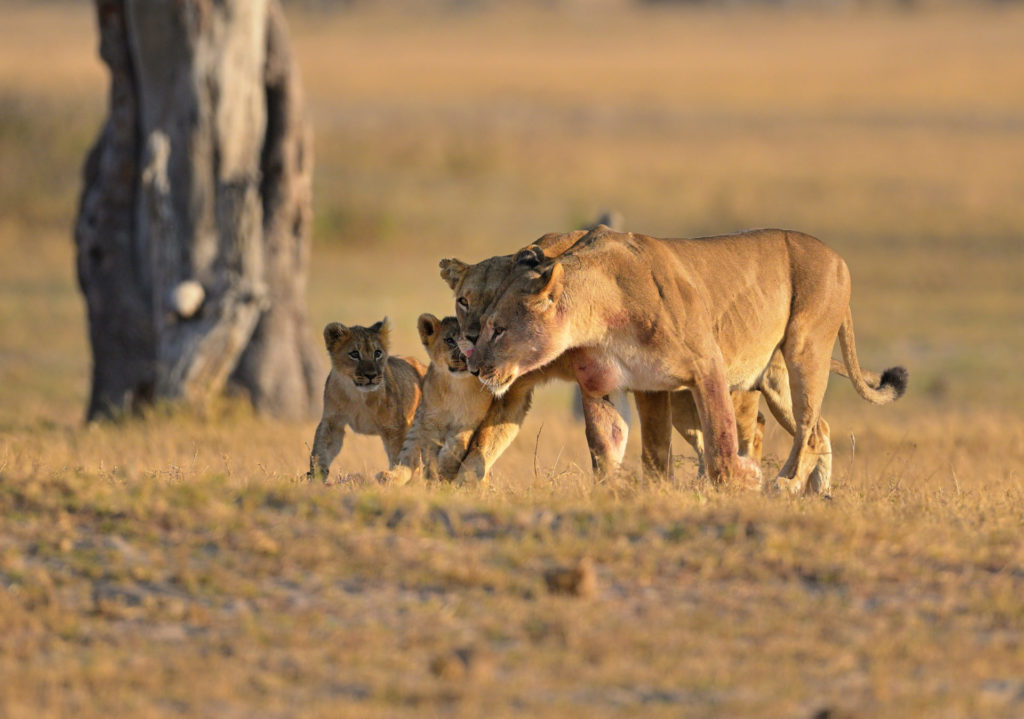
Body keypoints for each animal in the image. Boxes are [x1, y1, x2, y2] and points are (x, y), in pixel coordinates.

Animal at [307, 318, 426, 481]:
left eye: (377, 353)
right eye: (354, 354)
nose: (371, 375)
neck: (358, 396)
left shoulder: (395, 427)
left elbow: (400, 455)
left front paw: (394, 477)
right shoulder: (332, 421)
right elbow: (320, 450)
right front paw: (316, 476)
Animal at [377, 313, 493, 486]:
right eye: (450, 340)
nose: (463, 356)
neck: (458, 387)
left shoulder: (470, 422)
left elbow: (458, 443)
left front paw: (446, 465)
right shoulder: (429, 422)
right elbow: (429, 455)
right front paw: (433, 479)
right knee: (407, 458)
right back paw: (388, 477)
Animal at [467, 226, 907, 495]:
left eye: (499, 329)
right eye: (483, 324)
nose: (475, 366)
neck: (596, 315)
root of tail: (837, 257)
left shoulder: (706, 365)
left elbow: (720, 444)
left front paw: (744, 479)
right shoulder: (622, 384)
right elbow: (618, 449)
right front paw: (623, 492)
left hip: (805, 349)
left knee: (808, 429)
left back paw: (784, 484)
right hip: (777, 379)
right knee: (820, 428)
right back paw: (816, 493)